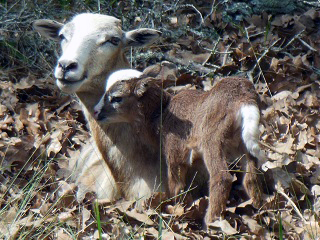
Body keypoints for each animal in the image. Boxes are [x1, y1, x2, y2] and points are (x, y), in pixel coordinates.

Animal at [95, 73, 264, 227]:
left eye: (116, 98)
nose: (96, 113)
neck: (160, 118)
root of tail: (245, 99)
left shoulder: (175, 151)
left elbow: (175, 185)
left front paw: (173, 208)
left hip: (212, 139)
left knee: (222, 177)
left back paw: (209, 222)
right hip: (241, 144)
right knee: (251, 176)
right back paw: (258, 210)